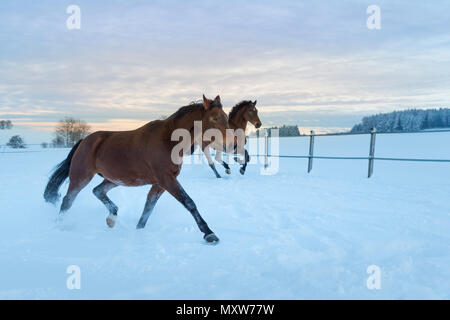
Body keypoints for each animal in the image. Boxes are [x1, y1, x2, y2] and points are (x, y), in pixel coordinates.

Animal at [44, 95, 230, 242]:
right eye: (214, 118)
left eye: (226, 117)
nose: (230, 143)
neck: (168, 140)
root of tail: (84, 140)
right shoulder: (166, 179)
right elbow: (189, 203)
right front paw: (209, 233)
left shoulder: (160, 183)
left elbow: (148, 207)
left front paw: (139, 230)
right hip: (81, 176)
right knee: (68, 201)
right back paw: (59, 227)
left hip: (114, 179)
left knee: (97, 190)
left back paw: (112, 217)